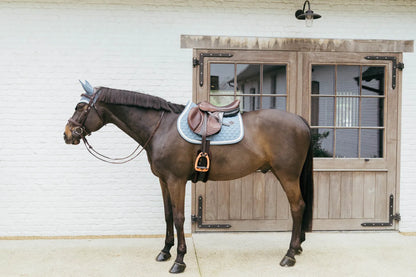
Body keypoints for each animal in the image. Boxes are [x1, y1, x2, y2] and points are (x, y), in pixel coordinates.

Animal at [63, 83, 314, 272]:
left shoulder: (176, 180)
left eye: (80, 106)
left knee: (297, 207)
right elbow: (167, 215)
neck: (161, 128)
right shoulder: (163, 180)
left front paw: (179, 260)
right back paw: (297, 248)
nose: (67, 134)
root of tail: (300, 120)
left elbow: (179, 218)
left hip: (287, 175)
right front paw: (165, 251)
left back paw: (289, 255)